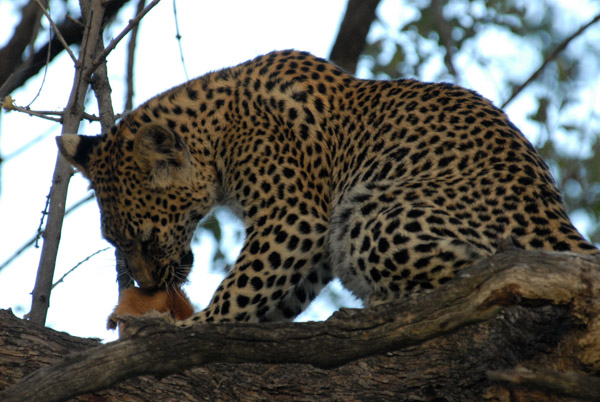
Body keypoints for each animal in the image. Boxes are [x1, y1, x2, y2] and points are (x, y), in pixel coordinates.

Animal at [57, 50, 600, 326]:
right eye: (114, 243)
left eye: (147, 238)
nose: (149, 285)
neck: (220, 130)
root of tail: (558, 221)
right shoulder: (312, 241)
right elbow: (276, 296)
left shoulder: (293, 219)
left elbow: (241, 289)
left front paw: (184, 326)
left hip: (370, 214)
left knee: (487, 275)